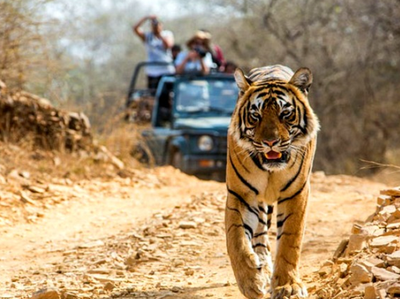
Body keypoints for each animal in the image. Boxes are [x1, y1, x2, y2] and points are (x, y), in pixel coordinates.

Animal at [225, 64, 318, 298]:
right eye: (255, 115)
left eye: (285, 113)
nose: (270, 142)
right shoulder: (241, 194)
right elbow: (236, 239)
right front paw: (250, 282)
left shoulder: (296, 193)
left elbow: (289, 242)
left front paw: (288, 286)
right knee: (259, 235)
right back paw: (262, 268)